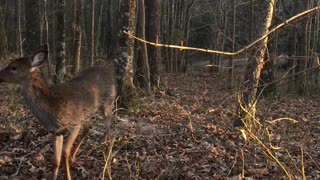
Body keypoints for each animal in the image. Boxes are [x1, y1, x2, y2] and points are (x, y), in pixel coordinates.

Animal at [0, 45, 115, 180]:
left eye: (13, 67)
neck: (51, 108)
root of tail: (109, 71)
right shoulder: (56, 131)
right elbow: (56, 160)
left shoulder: (74, 124)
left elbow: (64, 152)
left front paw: (68, 176)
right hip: (86, 113)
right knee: (89, 126)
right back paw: (74, 158)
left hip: (108, 103)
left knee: (109, 132)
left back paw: (108, 160)